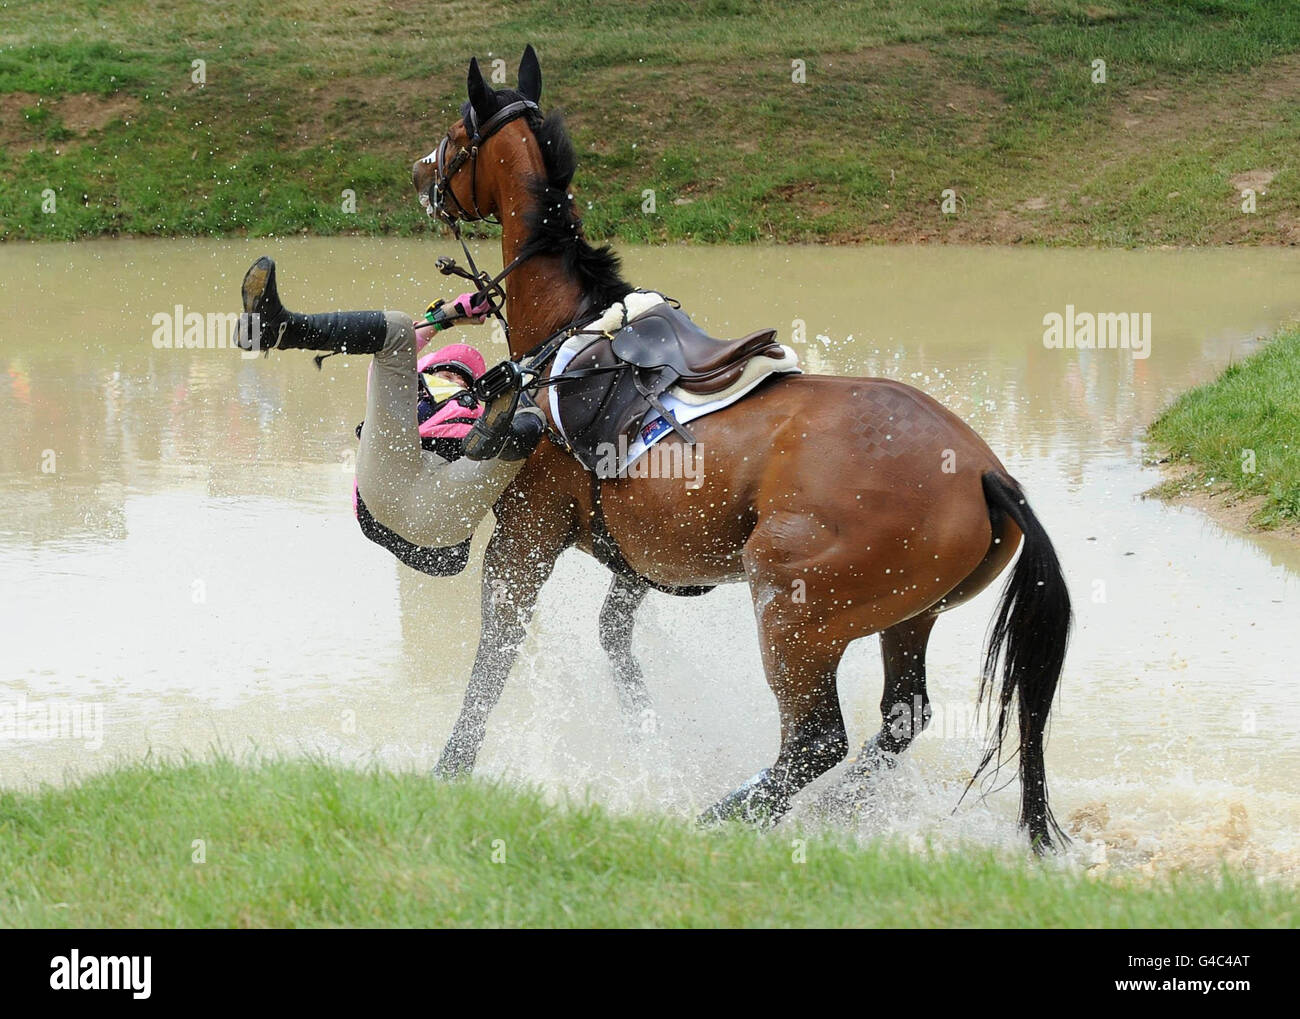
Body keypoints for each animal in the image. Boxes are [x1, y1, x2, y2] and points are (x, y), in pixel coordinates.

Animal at [411, 46, 1073, 850]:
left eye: (456, 134)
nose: (419, 172)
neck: (572, 327)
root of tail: (984, 472)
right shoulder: (640, 563)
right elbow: (615, 645)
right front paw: (651, 747)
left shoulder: (524, 537)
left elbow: (493, 659)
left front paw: (450, 769)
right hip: (908, 617)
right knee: (898, 720)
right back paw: (830, 809)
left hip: (794, 610)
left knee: (816, 738)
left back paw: (723, 817)